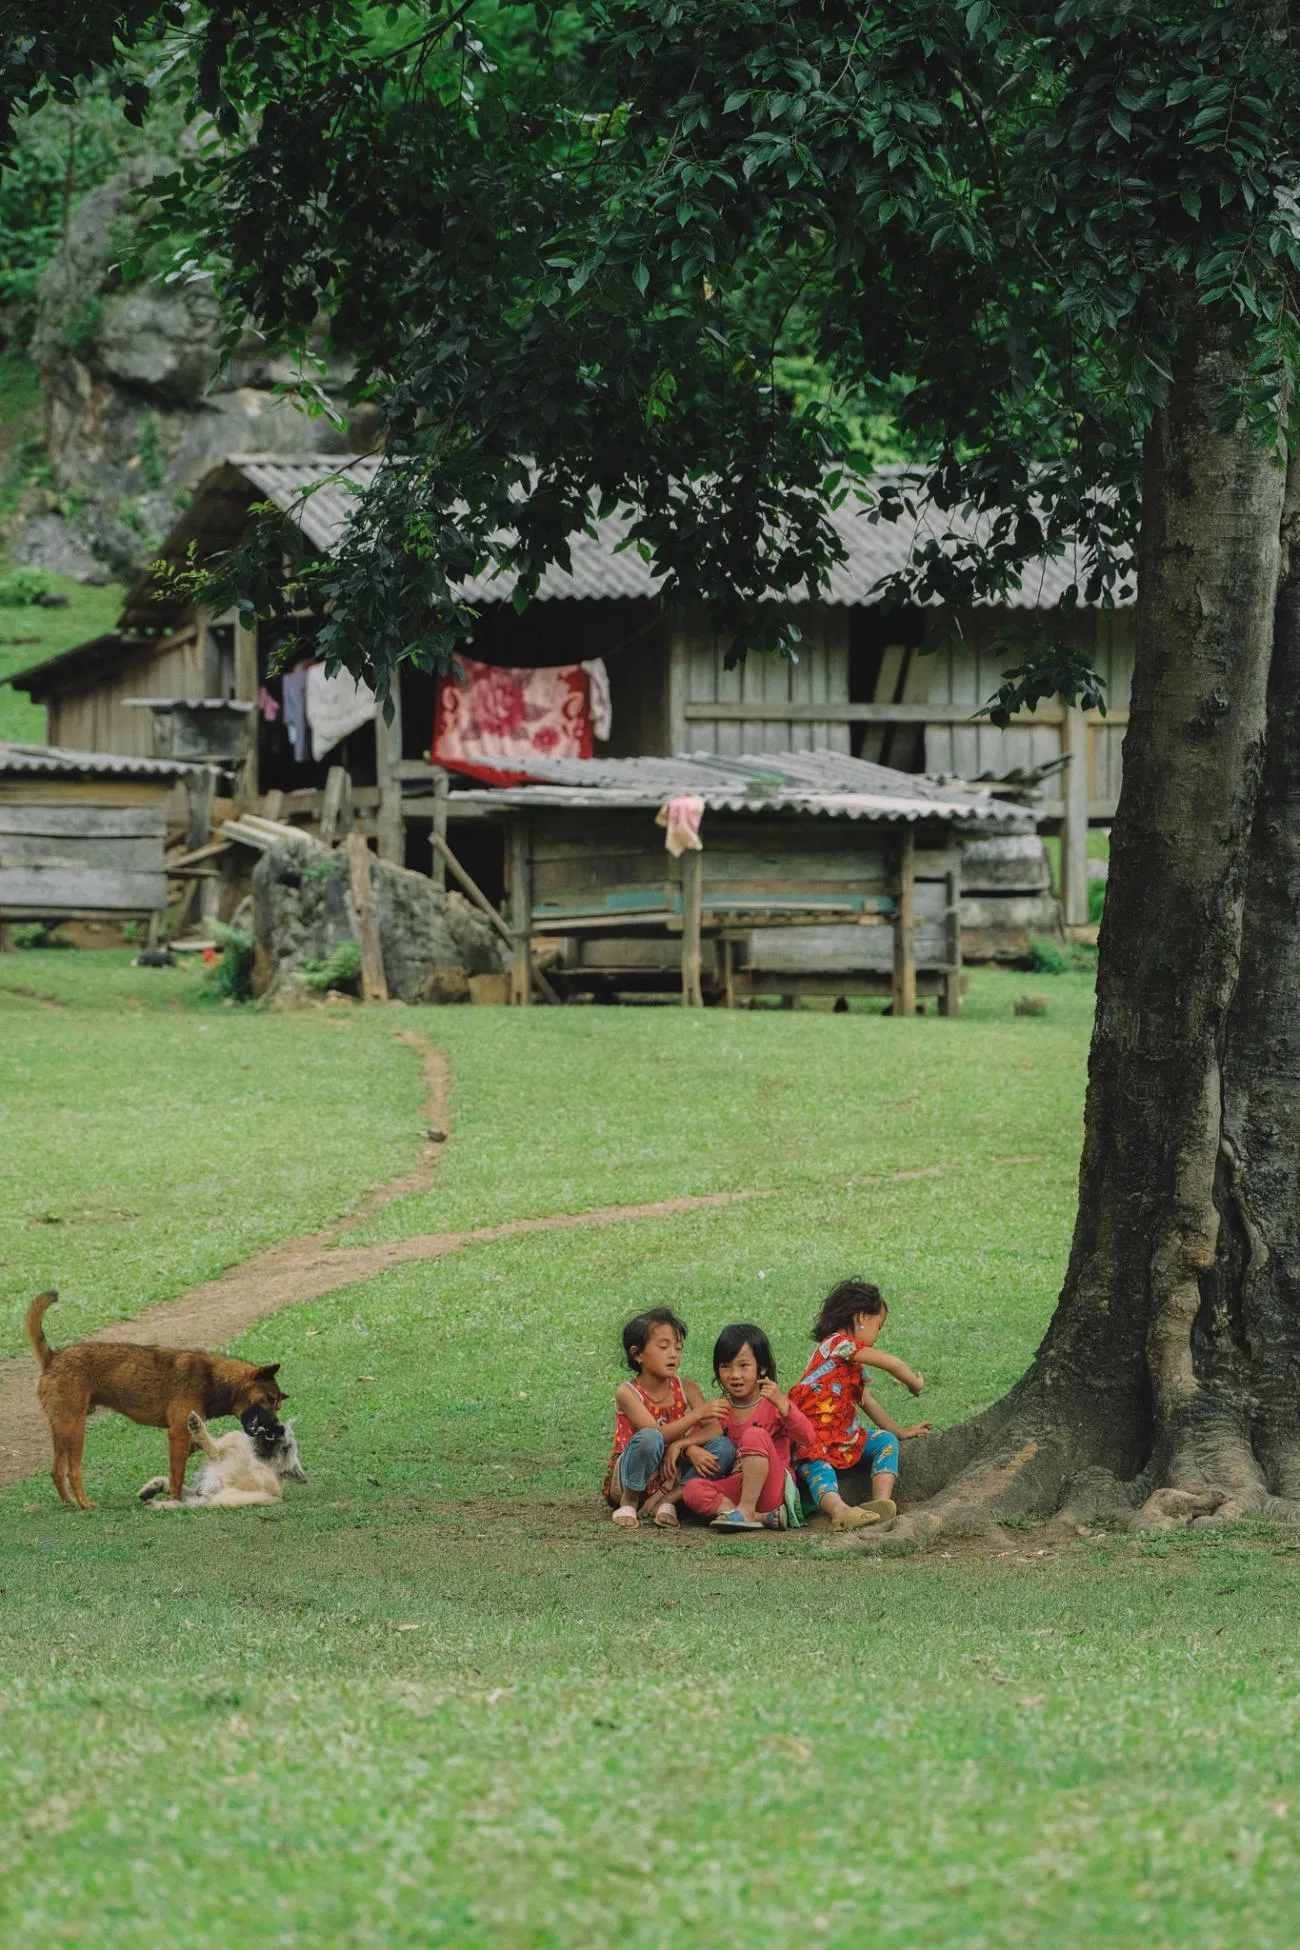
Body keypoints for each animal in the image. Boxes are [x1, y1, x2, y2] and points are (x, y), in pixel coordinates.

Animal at [23, 1294, 290, 1505]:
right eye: (268, 1399)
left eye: (278, 1404)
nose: (279, 1429)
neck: (214, 1380)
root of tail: (52, 1357)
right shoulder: (178, 1435)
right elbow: (177, 1478)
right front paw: (175, 1501)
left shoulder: (185, 1436)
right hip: (75, 1429)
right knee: (72, 1472)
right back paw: (85, 1504)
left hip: (62, 1430)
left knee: (56, 1471)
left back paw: (69, 1503)